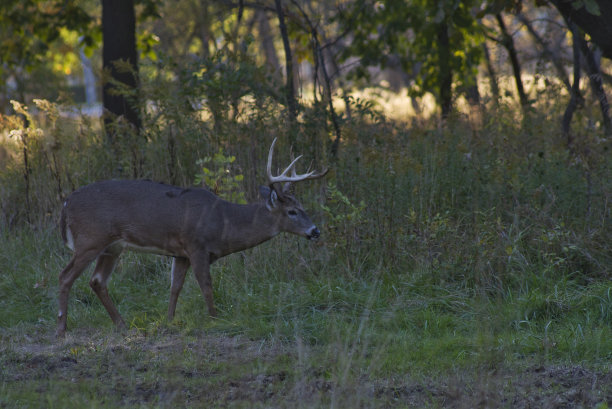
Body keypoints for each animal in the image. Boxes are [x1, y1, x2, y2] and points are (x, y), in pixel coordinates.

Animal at [55, 139, 328, 336]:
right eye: (292, 211)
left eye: (302, 206)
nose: (315, 231)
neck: (223, 223)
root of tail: (66, 203)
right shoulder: (197, 246)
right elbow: (206, 286)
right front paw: (216, 320)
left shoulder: (180, 253)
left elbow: (175, 287)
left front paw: (168, 321)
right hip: (90, 238)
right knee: (66, 275)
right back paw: (61, 328)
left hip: (112, 246)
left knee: (97, 280)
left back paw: (122, 325)